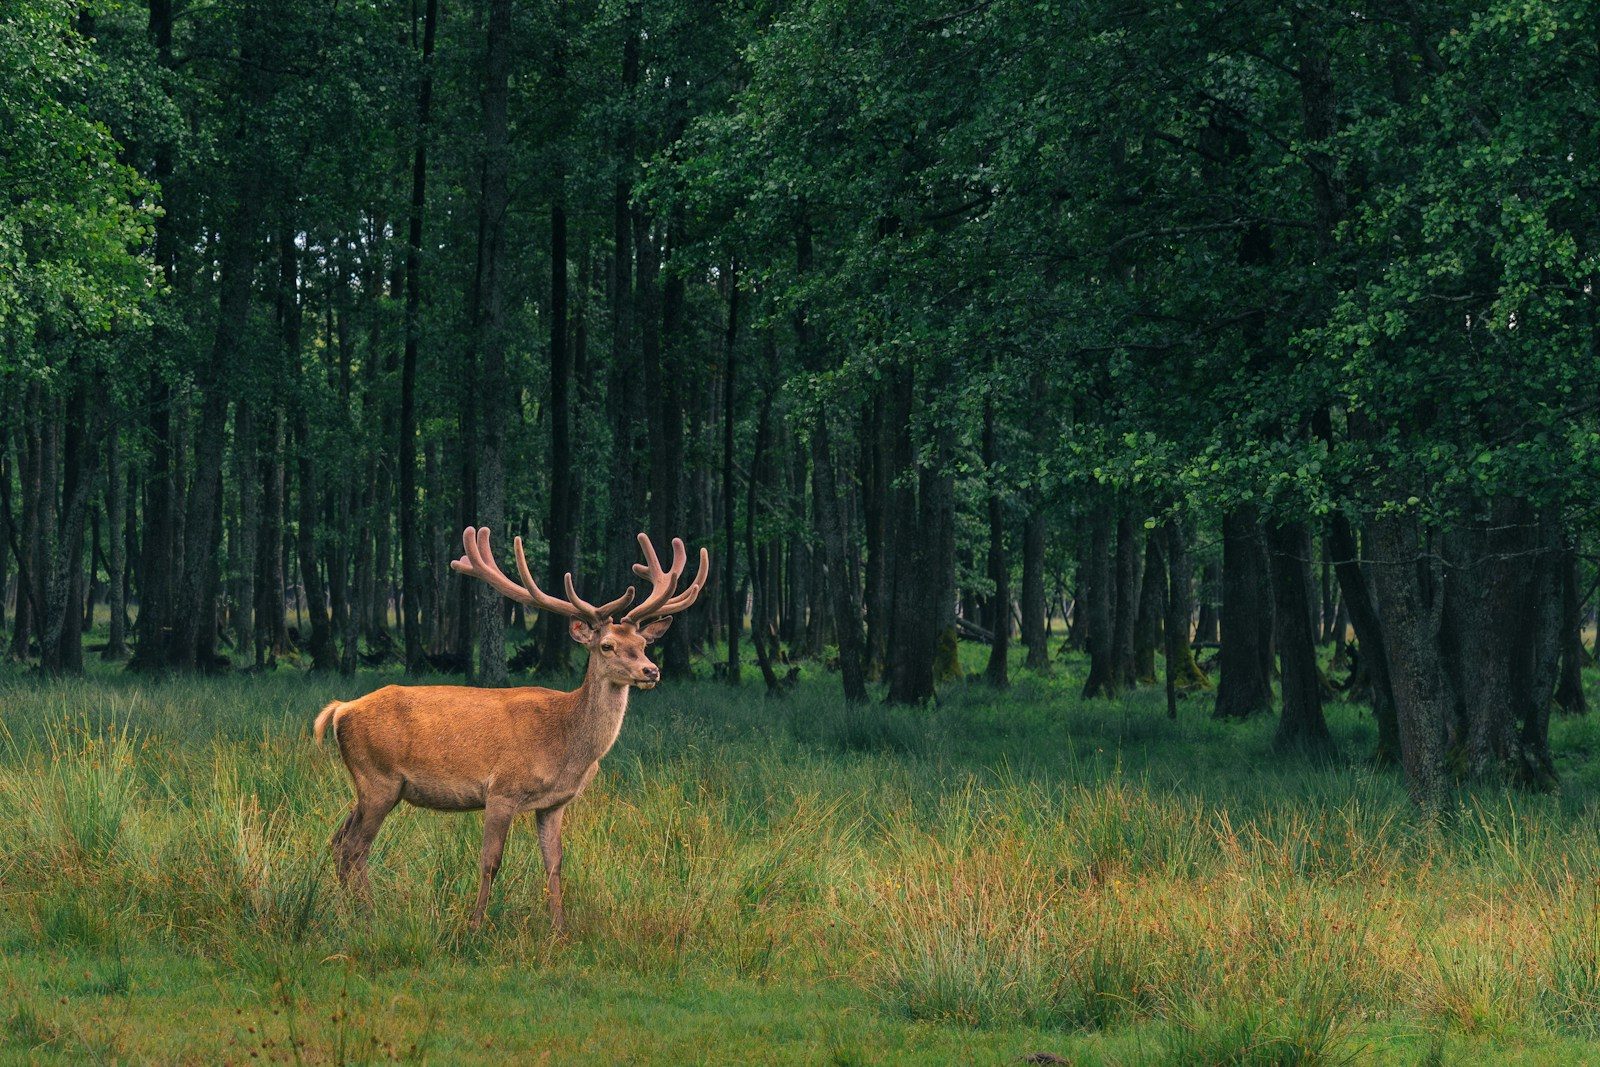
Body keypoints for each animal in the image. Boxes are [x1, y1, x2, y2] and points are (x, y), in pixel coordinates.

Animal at [313, 527, 708, 932]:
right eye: (607, 646)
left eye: (644, 643)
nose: (651, 671)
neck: (567, 744)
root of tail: (340, 710)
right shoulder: (501, 790)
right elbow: (490, 861)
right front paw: (475, 926)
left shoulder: (554, 803)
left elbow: (554, 864)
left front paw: (559, 931)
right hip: (378, 779)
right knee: (354, 847)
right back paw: (368, 916)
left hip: (370, 786)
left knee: (337, 841)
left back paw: (352, 911)